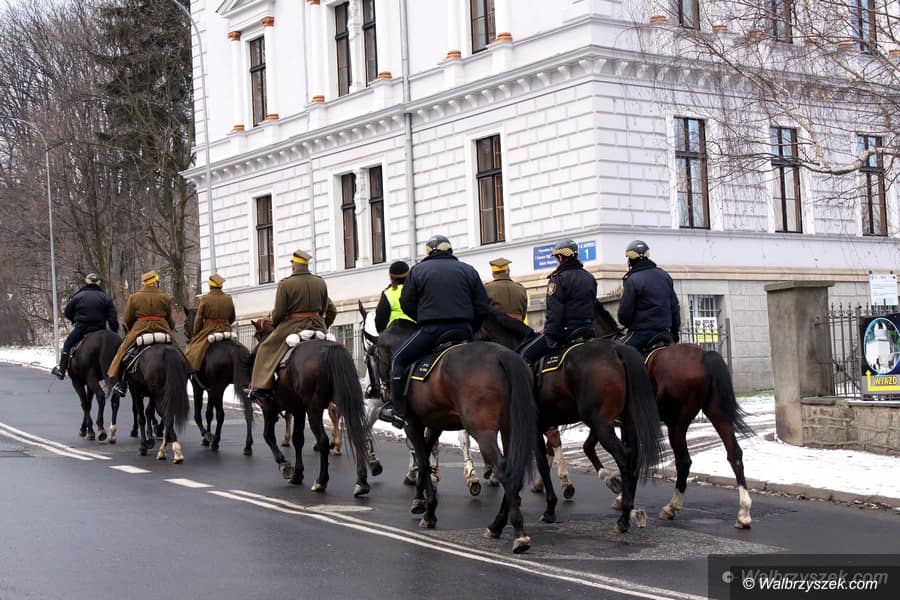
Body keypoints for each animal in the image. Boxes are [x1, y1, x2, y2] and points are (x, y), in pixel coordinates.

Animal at [184, 308, 255, 455]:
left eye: (185, 322)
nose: (187, 337)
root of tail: (234, 349)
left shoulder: (198, 387)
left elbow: (198, 415)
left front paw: (207, 436)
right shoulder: (210, 390)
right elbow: (209, 414)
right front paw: (206, 439)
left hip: (219, 389)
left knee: (221, 414)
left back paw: (215, 442)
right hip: (239, 387)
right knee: (248, 411)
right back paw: (247, 446)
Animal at [249, 320, 370, 497]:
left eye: (257, 336)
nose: (252, 355)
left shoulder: (269, 408)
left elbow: (268, 436)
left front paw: (285, 465)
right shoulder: (298, 410)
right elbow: (298, 439)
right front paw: (297, 474)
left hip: (314, 409)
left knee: (323, 440)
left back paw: (321, 481)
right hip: (344, 402)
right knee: (357, 434)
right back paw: (361, 482)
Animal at [375, 318, 537, 553]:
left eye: (375, 355)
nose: (382, 391)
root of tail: (503, 356)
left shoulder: (412, 424)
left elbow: (422, 460)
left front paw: (429, 511)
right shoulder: (435, 425)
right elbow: (425, 456)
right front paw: (419, 500)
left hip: (483, 431)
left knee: (503, 469)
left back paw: (519, 534)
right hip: (510, 429)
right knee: (513, 469)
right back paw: (497, 525)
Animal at [476, 311, 664, 533]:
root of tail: (616, 350)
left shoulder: (533, 428)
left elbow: (541, 463)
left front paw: (549, 508)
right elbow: (553, 456)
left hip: (601, 423)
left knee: (624, 459)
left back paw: (624, 516)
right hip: (625, 422)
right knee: (632, 459)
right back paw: (629, 507)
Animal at [591, 300, 755, 529]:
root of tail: (704, 356)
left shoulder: (619, 423)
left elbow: (627, 456)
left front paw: (621, 494)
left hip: (676, 423)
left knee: (683, 461)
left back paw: (671, 507)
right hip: (716, 413)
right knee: (734, 454)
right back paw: (743, 512)